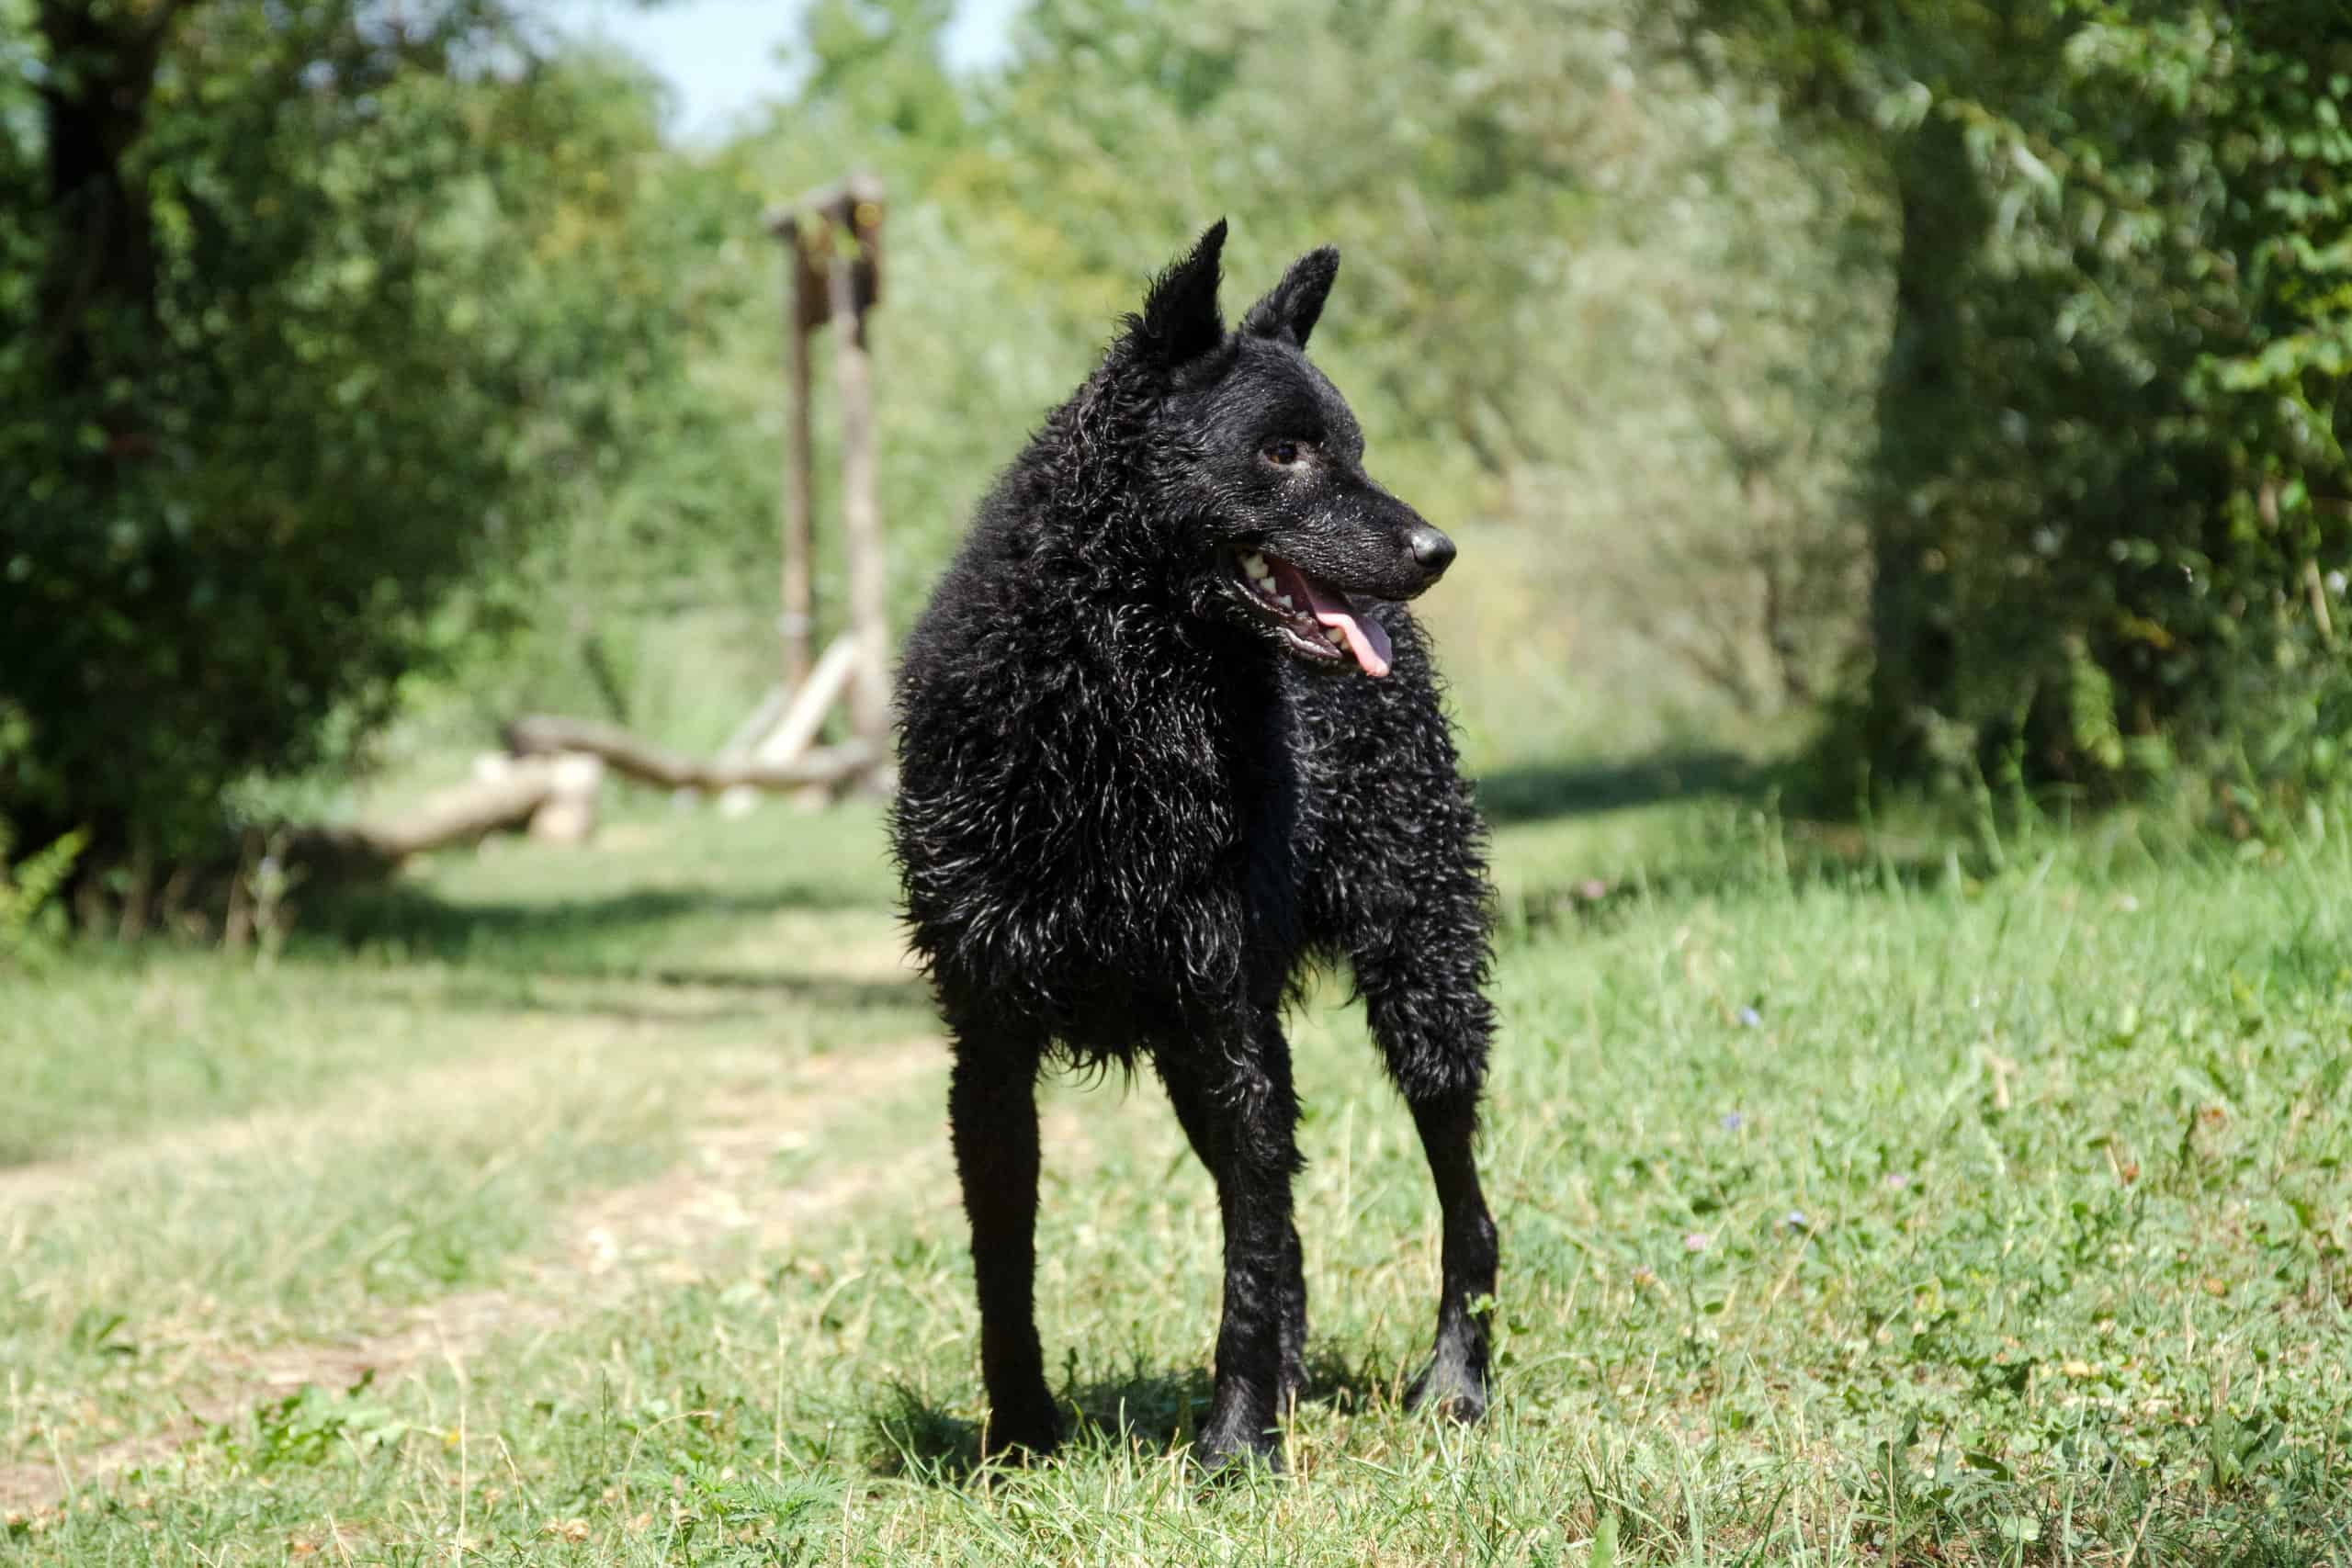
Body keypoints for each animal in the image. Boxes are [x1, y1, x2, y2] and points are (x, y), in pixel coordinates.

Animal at [888, 220, 1496, 1476]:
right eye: (1283, 452)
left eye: (1352, 446)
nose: (1437, 548)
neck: (1108, 714)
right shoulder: (991, 1044)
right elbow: (1005, 1267)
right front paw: (1019, 1438)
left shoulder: (1226, 1022)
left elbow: (1247, 1260)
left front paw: (1233, 1445)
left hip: (1422, 986)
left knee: (1464, 1206)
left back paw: (1456, 1381)